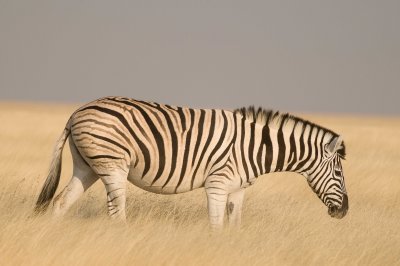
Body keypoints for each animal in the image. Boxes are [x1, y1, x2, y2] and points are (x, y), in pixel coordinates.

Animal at [34, 96, 348, 230]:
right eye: (338, 171)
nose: (343, 212)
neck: (256, 148)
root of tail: (76, 112)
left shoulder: (238, 189)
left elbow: (234, 226)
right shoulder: (218, 184)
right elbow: (216, 226)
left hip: (87, 167)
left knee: (60, 203)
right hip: (112, 166)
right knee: (116, 214)